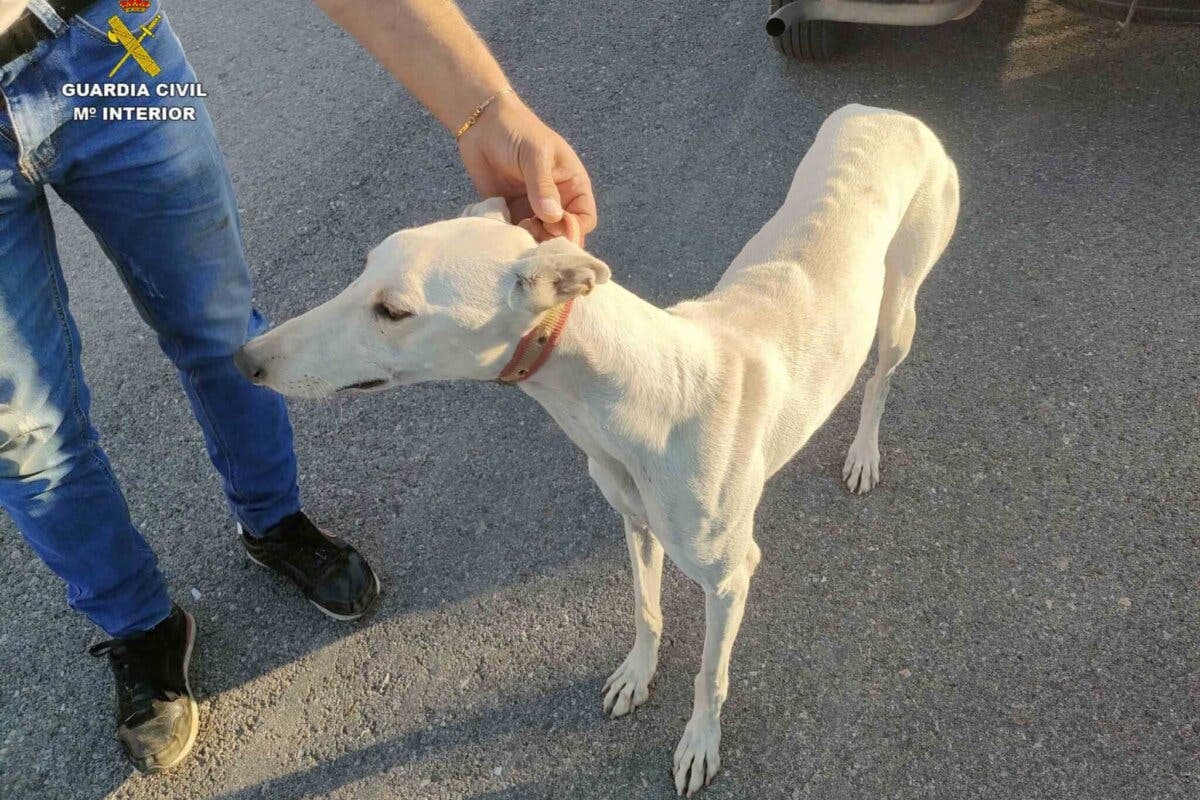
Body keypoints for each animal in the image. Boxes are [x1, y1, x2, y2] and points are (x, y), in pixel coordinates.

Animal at [234, 104, 960, 796]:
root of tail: (888, 113)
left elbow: (710, 674)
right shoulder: (634, 521)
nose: (245, 360)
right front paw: (637, 675)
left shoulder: (731, 575)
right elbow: (645, 609)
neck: (649, 392)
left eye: (392, 310)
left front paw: (700, 742)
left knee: (880, 378)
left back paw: (863, 453)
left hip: (899, 307)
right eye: (363, 269)